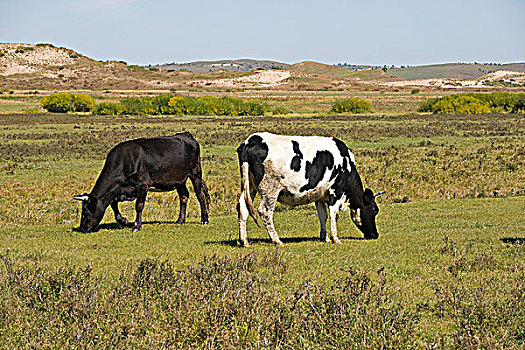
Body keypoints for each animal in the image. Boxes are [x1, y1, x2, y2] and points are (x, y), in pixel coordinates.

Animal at [72, 131, 211, 232]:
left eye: (86, 211)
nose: (82, 228)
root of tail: (185, 135)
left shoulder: (142, 185)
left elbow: (139, 206)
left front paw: (136, 226)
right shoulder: (120, 190)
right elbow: (114, 205)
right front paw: (123, 220)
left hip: (195, 173)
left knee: (200, 195)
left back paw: (204, 220)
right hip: (179, 180)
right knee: (184, 196)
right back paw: (180, 220)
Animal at [236, 133, 380, 247]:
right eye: (374, 210)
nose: (375, 234)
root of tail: (251, 140)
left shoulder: (320, 195)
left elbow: (323, 215)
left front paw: (324, 237)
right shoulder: (336, 192)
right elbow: (334, 214)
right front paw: (335, 238)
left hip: (249, 186)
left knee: (242, 207)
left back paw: (244, 241)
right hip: (270, 189)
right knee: (265, 212)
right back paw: (277, 240)